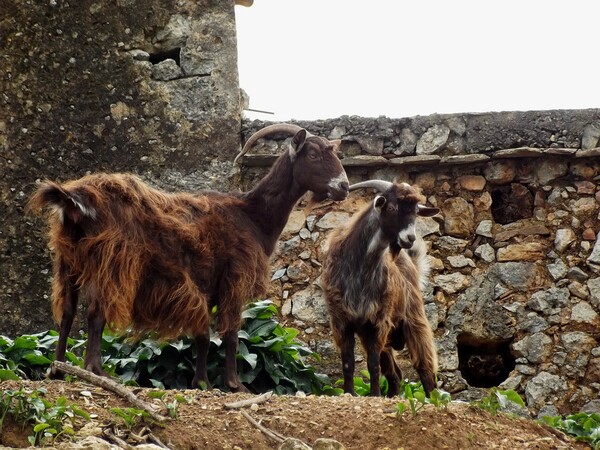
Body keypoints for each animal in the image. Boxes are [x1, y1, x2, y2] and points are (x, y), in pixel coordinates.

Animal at [28, 122, 350, 390]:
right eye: (313, 155)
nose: (344, 186)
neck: (252, 215)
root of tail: (74, 200)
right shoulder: (234, 279)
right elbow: (231, 333)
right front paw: (235, 385)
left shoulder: (205, 286)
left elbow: (203, 336)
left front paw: (201, 382)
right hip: (111, 261)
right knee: (96, 312)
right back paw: (95, 370)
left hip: (68, 262)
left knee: (67, 313)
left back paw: (57, 369)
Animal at [322, 180, 438, 398]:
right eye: (391, 208)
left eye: (416, 212)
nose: (410, 238)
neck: (359, 268)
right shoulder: (342, 321)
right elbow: (348, 363)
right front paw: (349, 392)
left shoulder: (378, 321)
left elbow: (373, 364)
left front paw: (374, 394)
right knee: (395, 373)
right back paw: (393, 395)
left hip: (413, 318)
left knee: (425, 365)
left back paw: (433, 398)